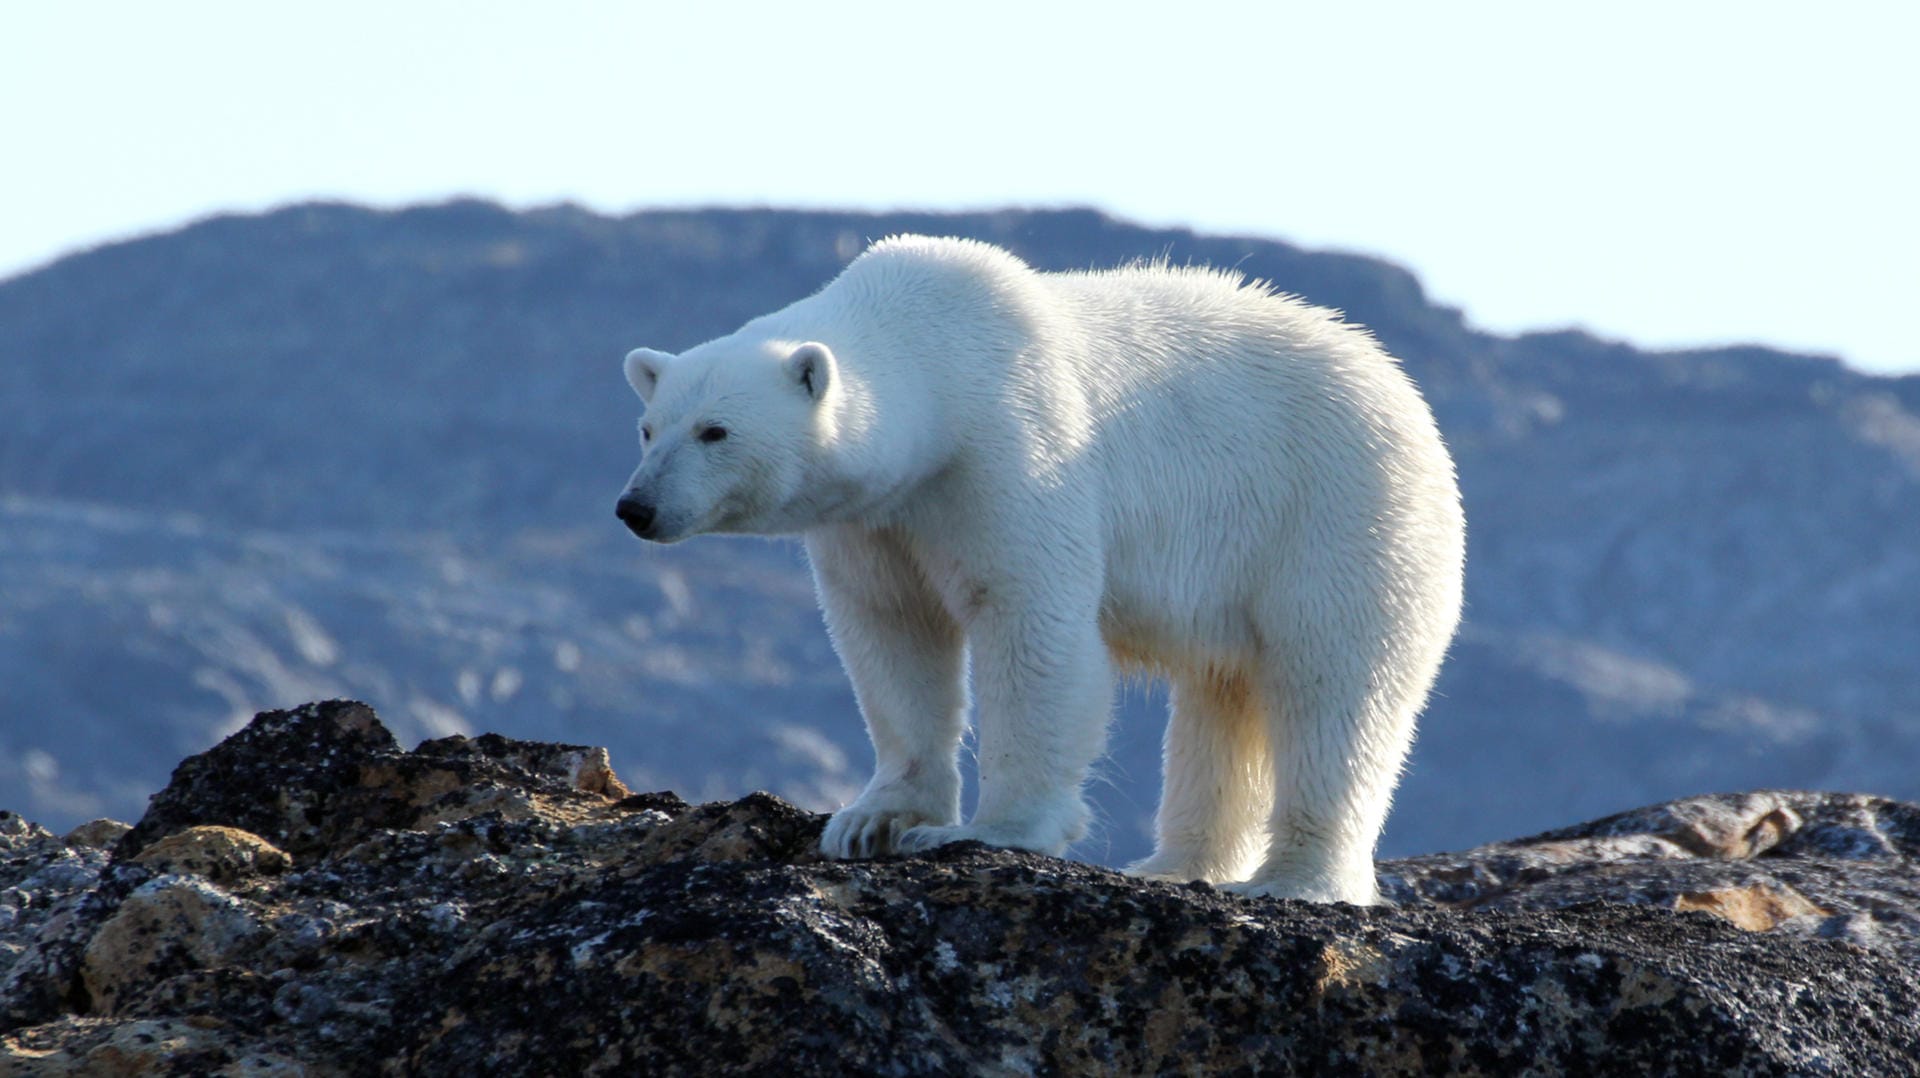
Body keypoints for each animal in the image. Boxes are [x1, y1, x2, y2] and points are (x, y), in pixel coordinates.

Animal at [622, 233, 1459, 899]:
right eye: (649, 427)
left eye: (715, 430)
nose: (636, 508)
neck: (935, 357)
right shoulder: (879, 519)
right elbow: (893, 632)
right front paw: (872, 820)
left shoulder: (1014, 448)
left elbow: (1029, 620)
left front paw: (987, 830)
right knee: (1222, 702)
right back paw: (1173, 865)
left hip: (1338, 515)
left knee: (1332, 690)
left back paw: (1294, 879)